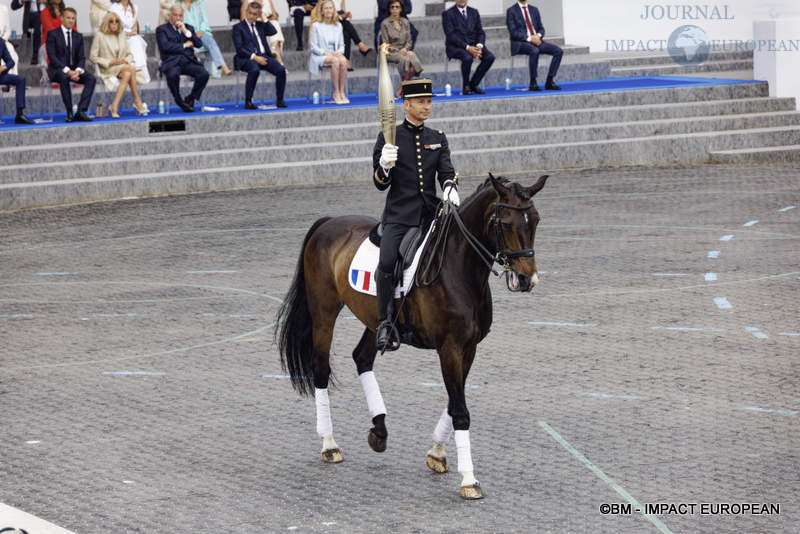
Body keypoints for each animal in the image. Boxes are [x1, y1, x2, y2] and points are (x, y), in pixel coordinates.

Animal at [278, 174, 548, 500]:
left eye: (536, 220)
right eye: (506, 223)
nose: (526, 279)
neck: (459, 267)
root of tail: (329, 222)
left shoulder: (469, 347)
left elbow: (454, 399)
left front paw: (437, 453)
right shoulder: (449, 347)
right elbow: (460, 409)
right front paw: (469, 480)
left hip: (375, 319)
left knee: (362, 358)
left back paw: (379, 430)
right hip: (323, 311)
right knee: (320, 369)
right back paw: (329, 444)